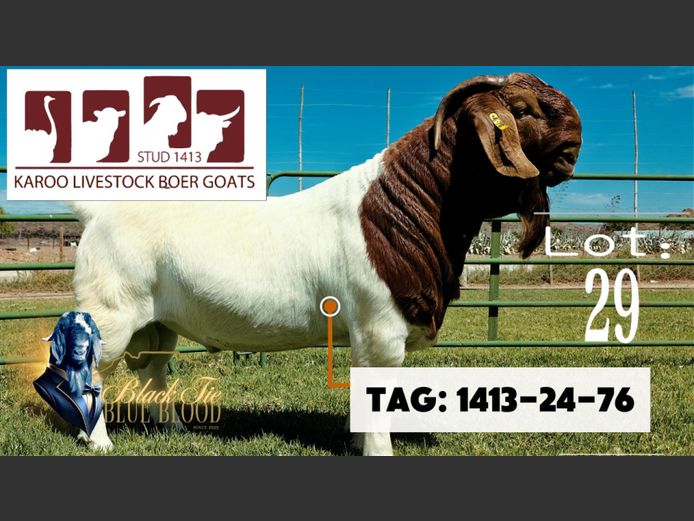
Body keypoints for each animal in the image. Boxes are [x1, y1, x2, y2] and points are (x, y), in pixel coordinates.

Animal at [71, 73, 582, 455]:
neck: (400, 212)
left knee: (153, 370)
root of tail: (98, 213)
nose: (575, 142)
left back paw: (174, 427)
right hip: (109, 314)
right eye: (522, 109)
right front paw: (377, 451)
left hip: (157, 321)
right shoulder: (380, 329)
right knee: (92, 374)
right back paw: (99, 442)